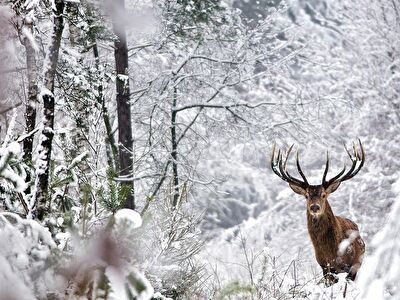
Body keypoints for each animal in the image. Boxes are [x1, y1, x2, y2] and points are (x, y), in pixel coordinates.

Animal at [268, 141, 366, 286]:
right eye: (307, 196)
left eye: (324, 195)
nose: (315, 207)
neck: (331, 252)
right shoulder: (324, 266)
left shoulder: (348, 266)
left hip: (357, 265)